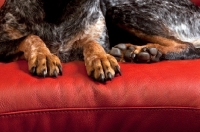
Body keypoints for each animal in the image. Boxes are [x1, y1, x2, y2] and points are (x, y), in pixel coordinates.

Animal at [0, 0, 199, 82]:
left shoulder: (98, 39)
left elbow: (91, 43)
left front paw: (101, 60)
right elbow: (30, 37)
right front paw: (45, 56)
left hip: (120, 10)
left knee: (190, 47)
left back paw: (144, 52)